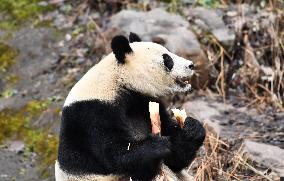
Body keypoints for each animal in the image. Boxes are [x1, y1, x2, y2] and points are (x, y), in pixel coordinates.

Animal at [55, 33, 205, 181]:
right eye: (167, 59)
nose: (191, 65)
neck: (118, 81)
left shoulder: (142, 102)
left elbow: (174, 158)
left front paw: (192, 128)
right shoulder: (91, 115)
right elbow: (114, 155)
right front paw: (157, 145)